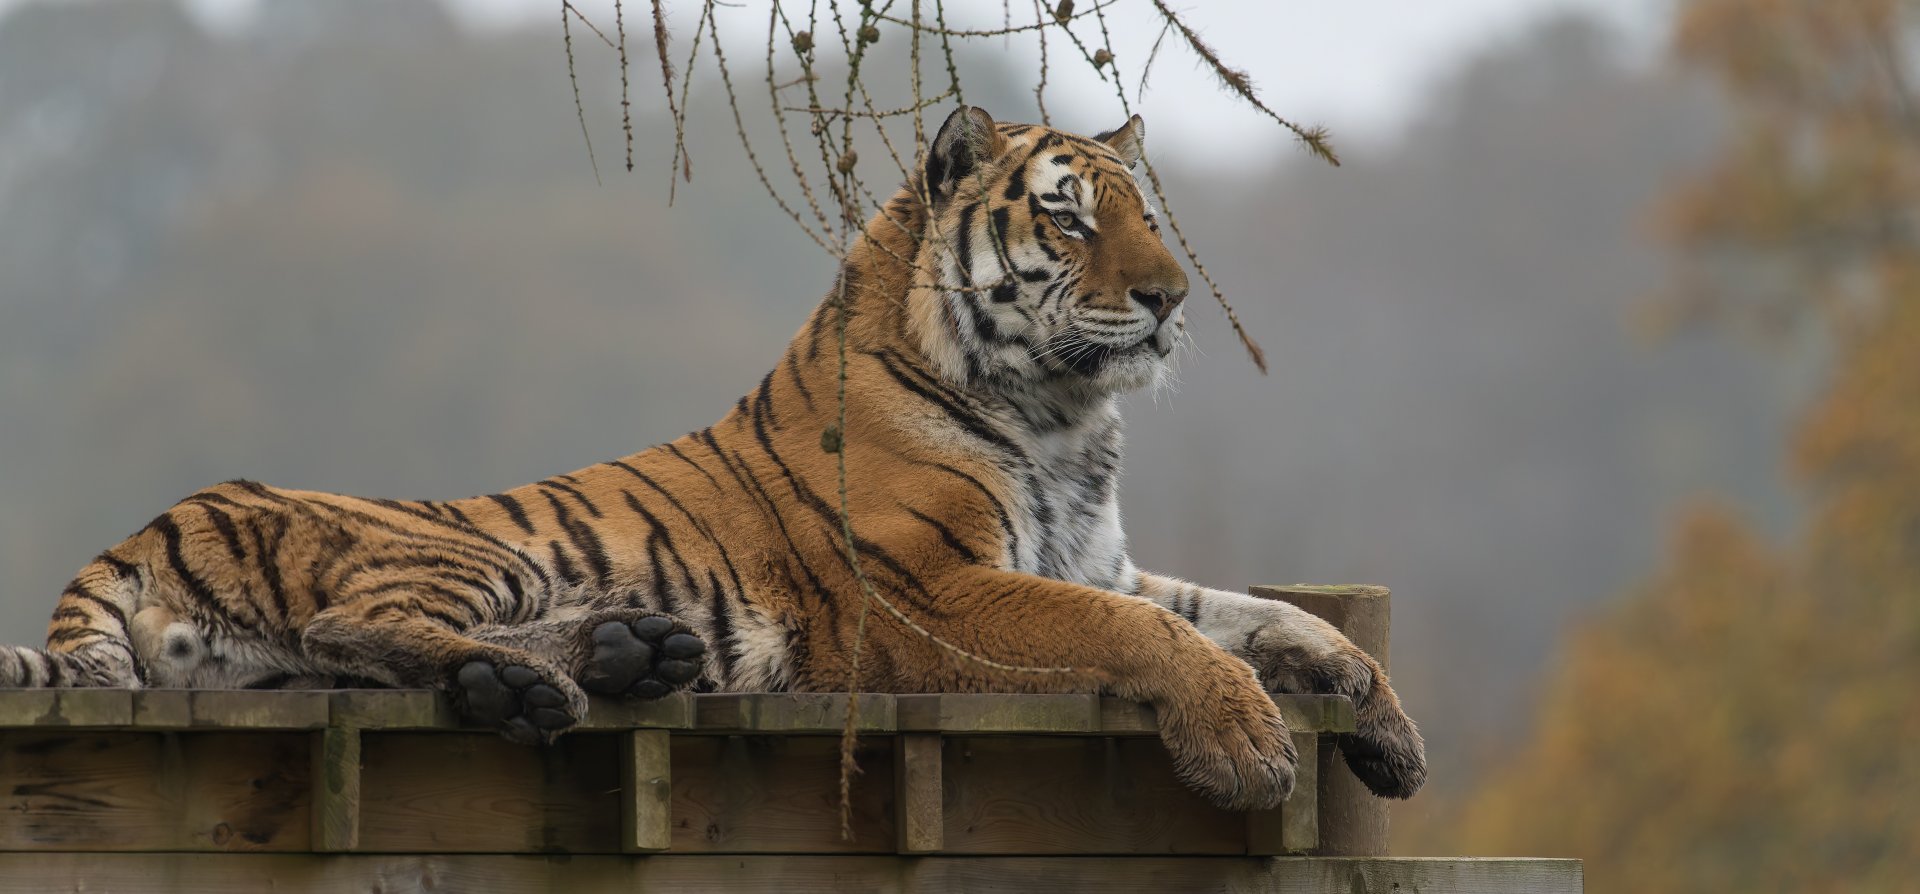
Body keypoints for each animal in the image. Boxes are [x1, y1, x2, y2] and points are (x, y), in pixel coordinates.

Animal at [0, 107, 1425, 810]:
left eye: (1147, 215)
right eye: (1072, 220)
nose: (1175, 299)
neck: (1068, 421)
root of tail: (143, 525)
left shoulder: (1104, 564)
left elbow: (1271, 617)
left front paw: (1387, 730)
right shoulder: (934, 595)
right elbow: (1158, 638)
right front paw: (1248, 750)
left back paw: (633, 655)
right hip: (457, 545)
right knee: (355, 627)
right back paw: (546, 684)